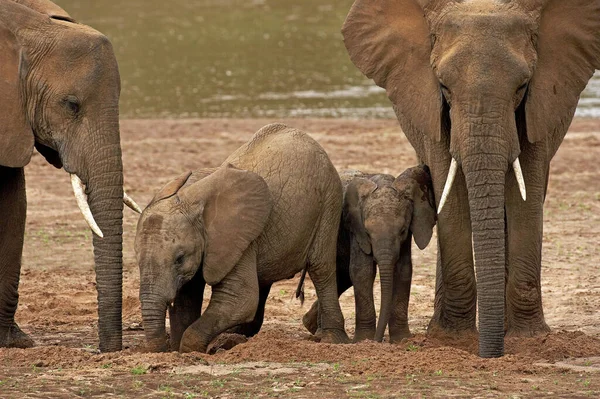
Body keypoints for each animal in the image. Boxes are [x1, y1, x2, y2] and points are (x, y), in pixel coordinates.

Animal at [135, 124, 352, 354]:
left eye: (179, 259)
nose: (163, 349)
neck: (189, 197)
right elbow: (187, 299)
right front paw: (180, 350)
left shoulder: (233, 238)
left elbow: (239, 298)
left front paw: (190, 350)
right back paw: (236, 340)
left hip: (329, 201)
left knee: (321, 269)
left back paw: (332, 340)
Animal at [302, 167, 434, 346]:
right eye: (368, 233)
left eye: (402, 231)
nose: (378, 340)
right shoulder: (355, 228)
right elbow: (362, 271)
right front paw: (364, 340)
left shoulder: (407, 237)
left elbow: (403, 271)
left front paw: (402, 339)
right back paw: (318, 332)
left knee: (341, 277)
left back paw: (310, 325)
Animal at [342, 0, 600, 356]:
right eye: (444, 87)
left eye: (522, 86)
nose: (491, 354)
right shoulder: (429, 103)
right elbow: (450, 198)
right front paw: (452, 338)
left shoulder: (542, 103)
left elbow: (526, 199)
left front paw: (529, 338)